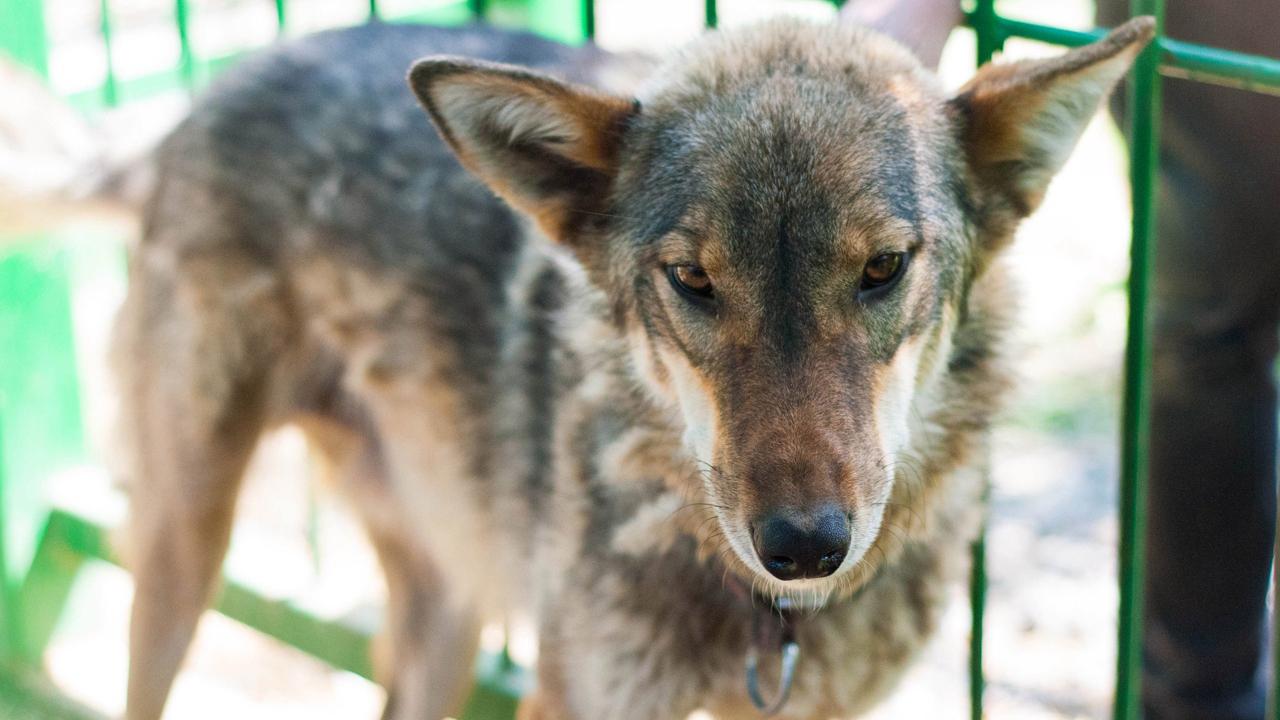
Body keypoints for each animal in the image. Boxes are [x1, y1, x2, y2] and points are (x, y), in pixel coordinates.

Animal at [115, 12, 1162, 717]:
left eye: (882, 269)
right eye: (693, 280)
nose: (803, 546)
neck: (772, 625)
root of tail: (207, 94)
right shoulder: (577, 695)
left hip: (447, 608)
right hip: (182, 555)